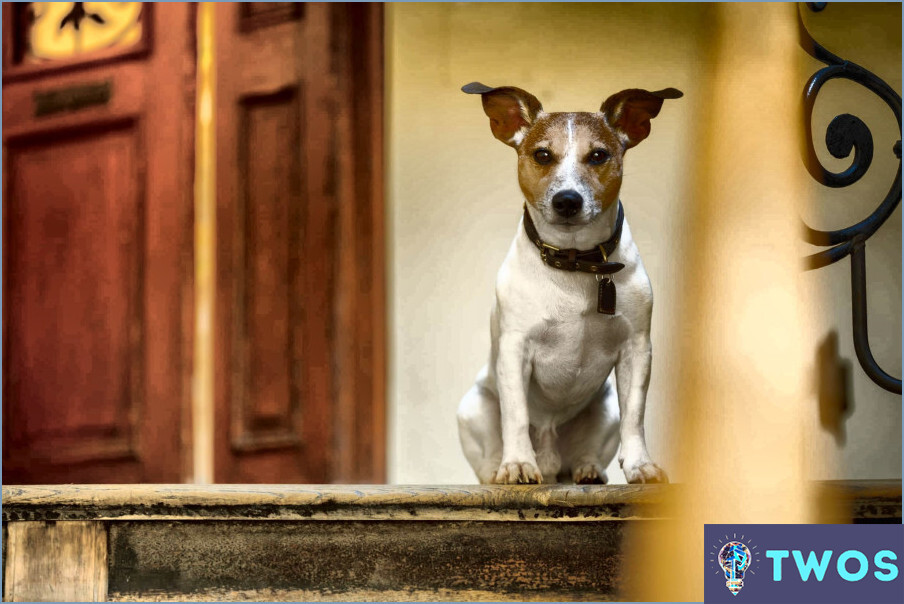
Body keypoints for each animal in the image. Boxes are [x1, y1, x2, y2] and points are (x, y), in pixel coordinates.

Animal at [456, 81, 680, 486]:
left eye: (598, 155)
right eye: (543, 155)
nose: (567, 200)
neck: (576, 263)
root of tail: (551, 458)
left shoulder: (637, 349)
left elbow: (635, 417)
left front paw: (640, 466)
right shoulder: (515, 349)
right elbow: (515, 415)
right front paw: (517, 464)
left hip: (605, 409)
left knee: (591, 450)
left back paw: (588, 470)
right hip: (472, 409)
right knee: (489, 456)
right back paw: (500, 468)